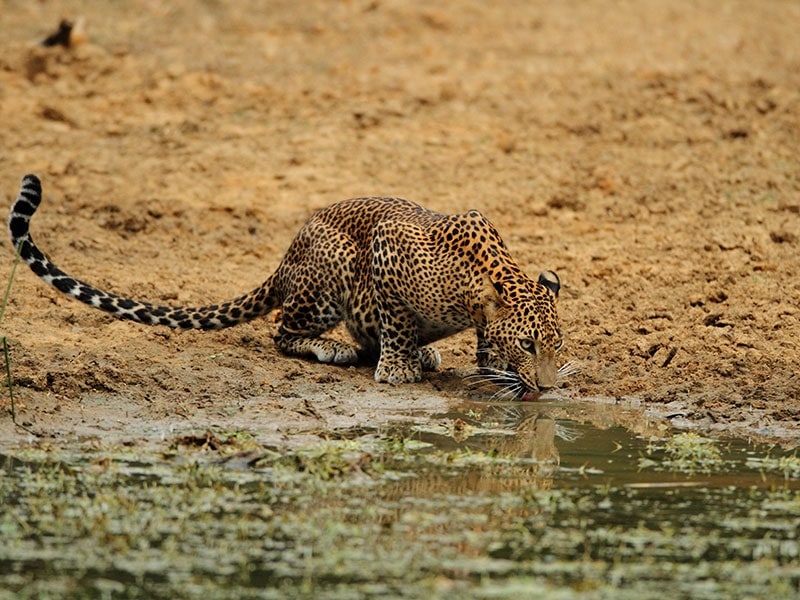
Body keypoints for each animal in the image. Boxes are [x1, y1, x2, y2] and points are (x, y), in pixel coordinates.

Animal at [8, 174, 564, 393]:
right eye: (528, 344)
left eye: (556, 346)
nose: (548, 389)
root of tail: (286, 255)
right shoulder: (386, 246)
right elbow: (397, 321)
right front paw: (398, 368)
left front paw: (491, 368)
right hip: (332, 267)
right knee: (281, 329)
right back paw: (339, 349)